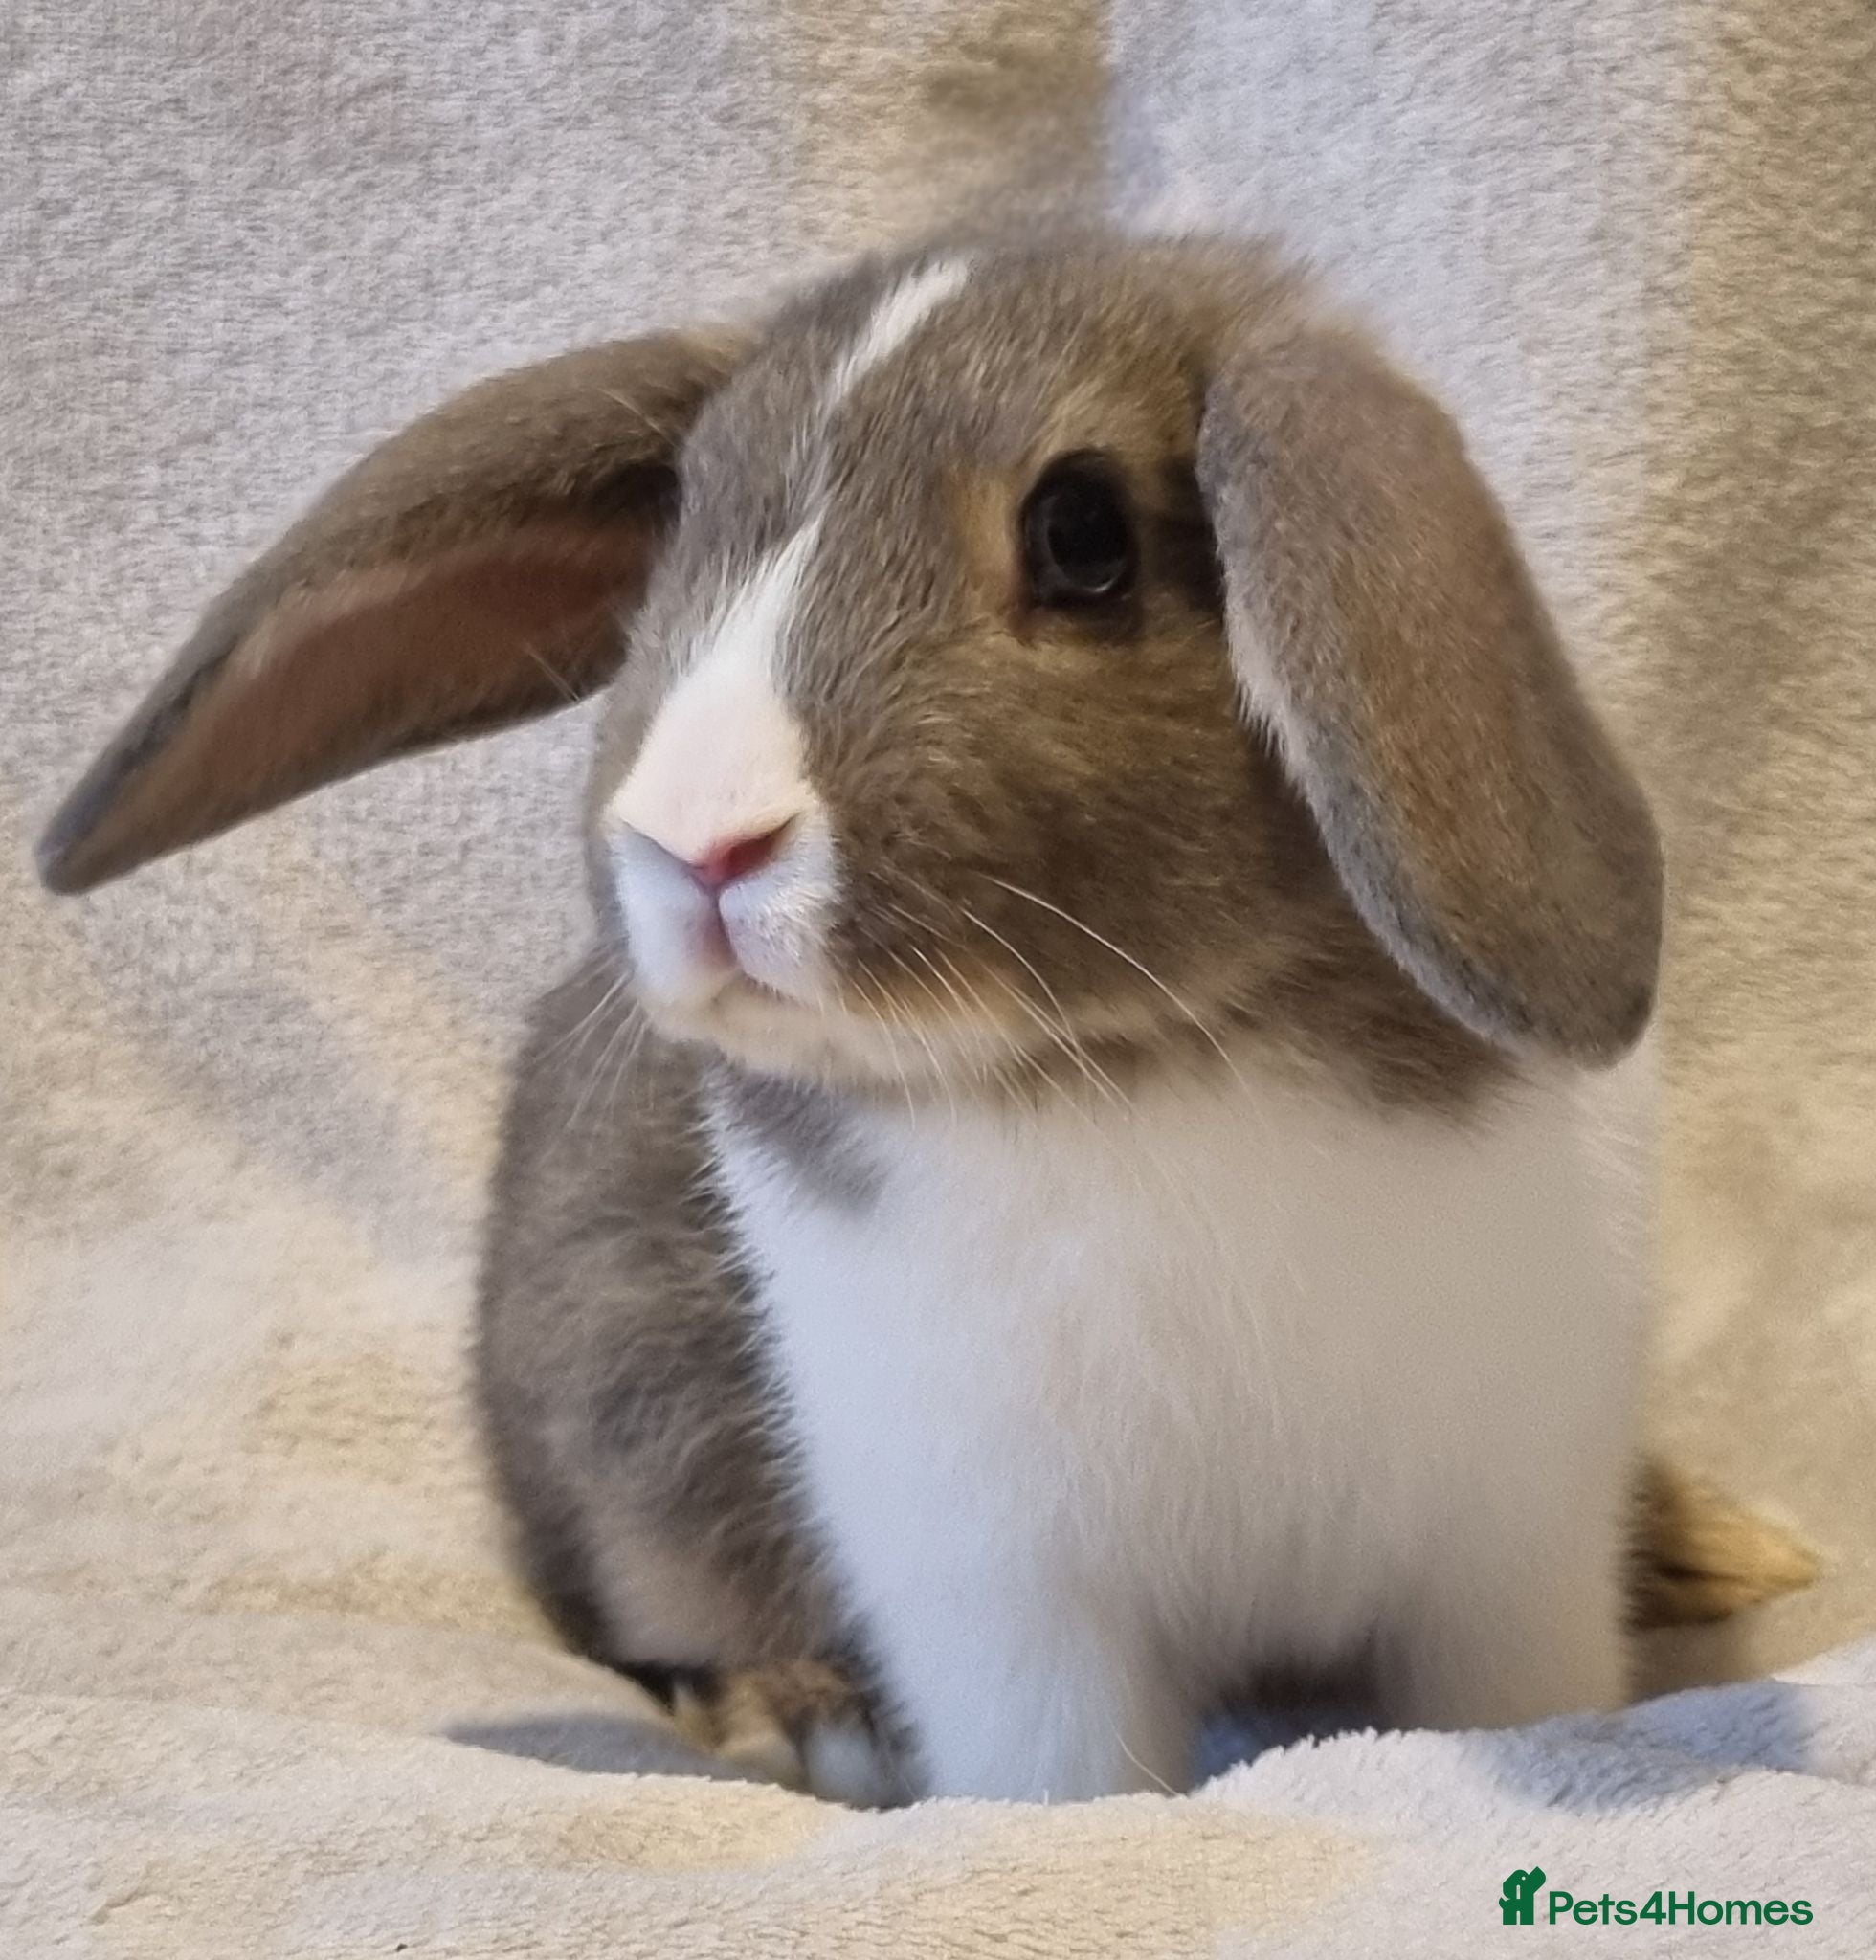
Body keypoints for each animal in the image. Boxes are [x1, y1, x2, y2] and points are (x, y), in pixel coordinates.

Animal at [38, 226, 1816, 1805]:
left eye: (1085, 534)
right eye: (678, 545)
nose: (697, 838)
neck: (1136, 1059)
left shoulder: (1500, 1552)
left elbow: (1519, 1714)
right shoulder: (1008, 1597)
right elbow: (1068, 1785)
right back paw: (802, 1715)